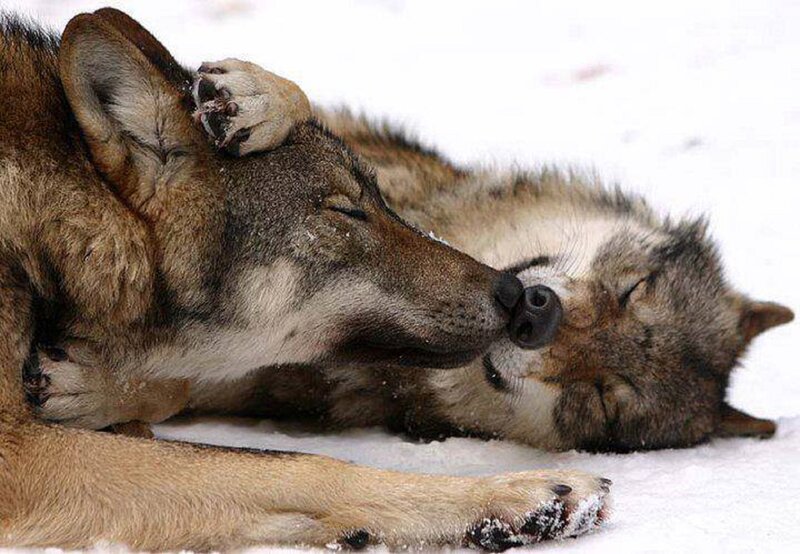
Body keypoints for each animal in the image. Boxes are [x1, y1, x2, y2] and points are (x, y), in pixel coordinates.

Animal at [0, 9, 609, 551]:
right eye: (347, 211)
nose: (515, 295)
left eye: (381, 198)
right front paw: (522, 494)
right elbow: (298, 465)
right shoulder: (18, 455)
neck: (52, 217)